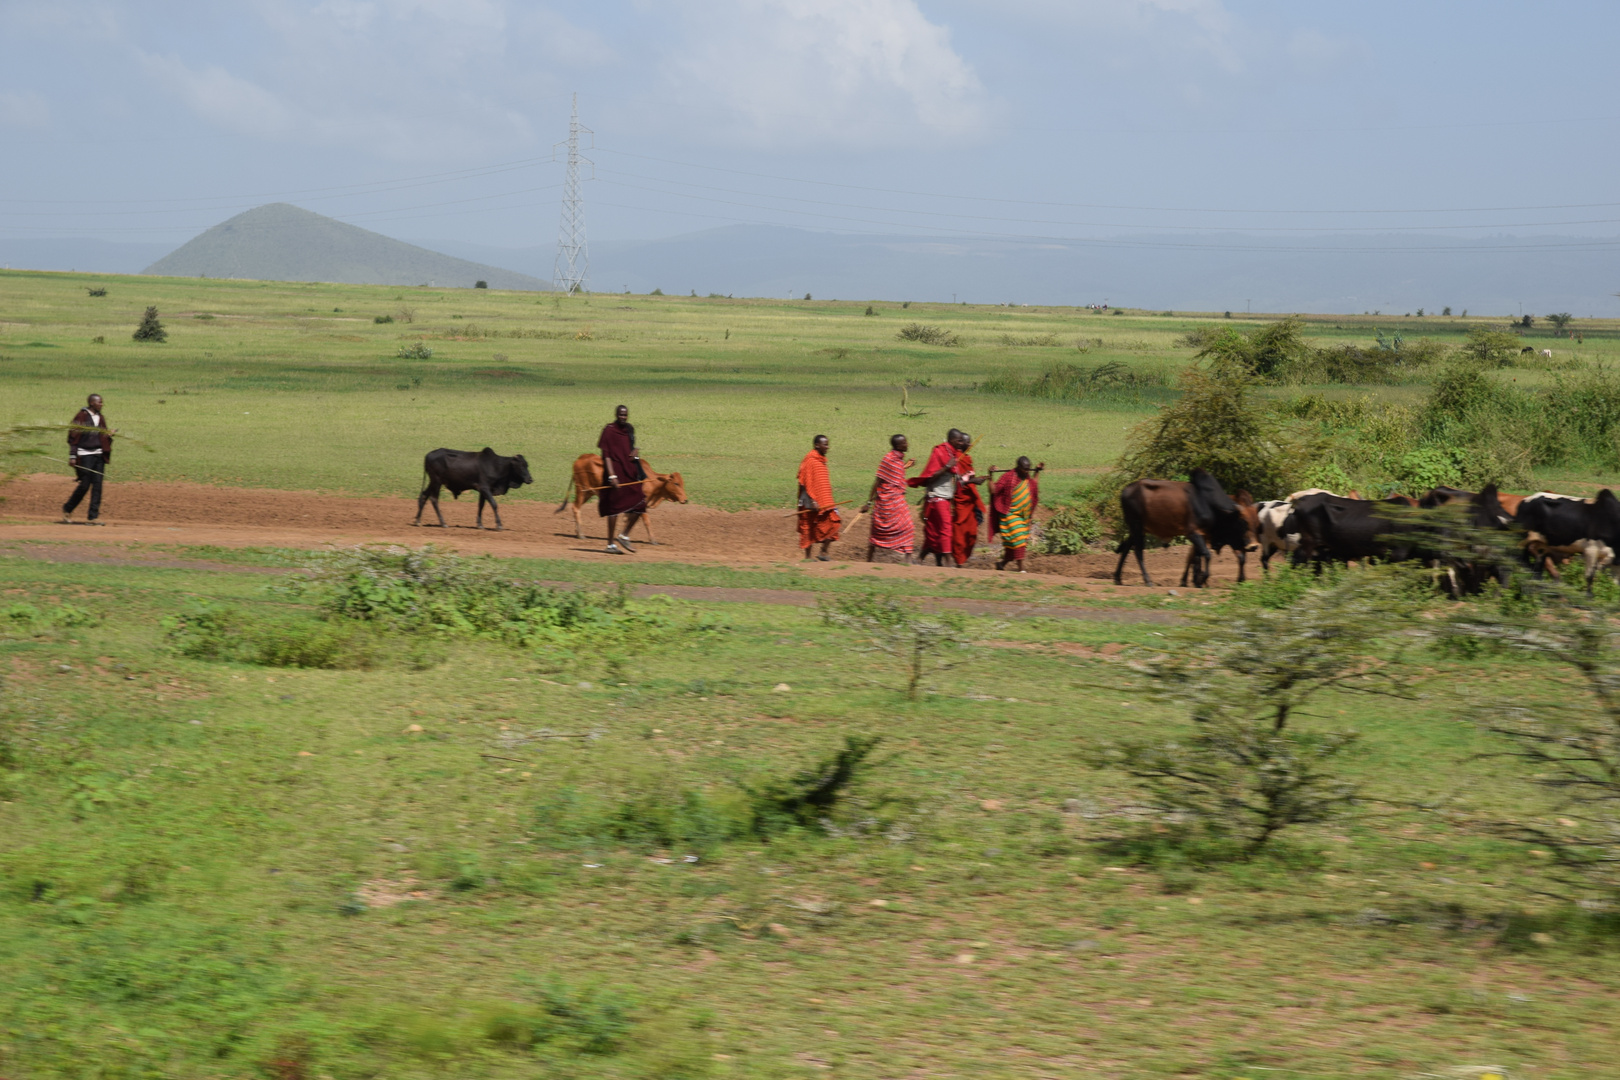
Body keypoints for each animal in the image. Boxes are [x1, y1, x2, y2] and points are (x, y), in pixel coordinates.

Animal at [557, 453, 690, 544]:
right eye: (676, 483)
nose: (685, 500)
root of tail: (581, 458)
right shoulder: (642, 504)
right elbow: (646, 521)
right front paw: (653, 540)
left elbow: (628, 519)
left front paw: (622, 536)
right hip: (582, 491)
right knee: (576, 508)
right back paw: (581, 534)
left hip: (588, 493)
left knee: (576, 507)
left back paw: (578, 533)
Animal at [1114, 469, 1263, 592]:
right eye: (1243, 522)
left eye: (1257, 523)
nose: (1253, 546)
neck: (1209, 504)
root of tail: (1125, 490)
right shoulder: (1193, 533)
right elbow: (1206, 555)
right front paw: (1201, 579)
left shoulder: (1203, 536)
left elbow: (1197, 557)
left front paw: (1196, 581)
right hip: (1137, 527)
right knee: (1138, 551)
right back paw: (1147, 580)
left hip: (1138, 529)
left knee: (1127, 548)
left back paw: (1117, 578)